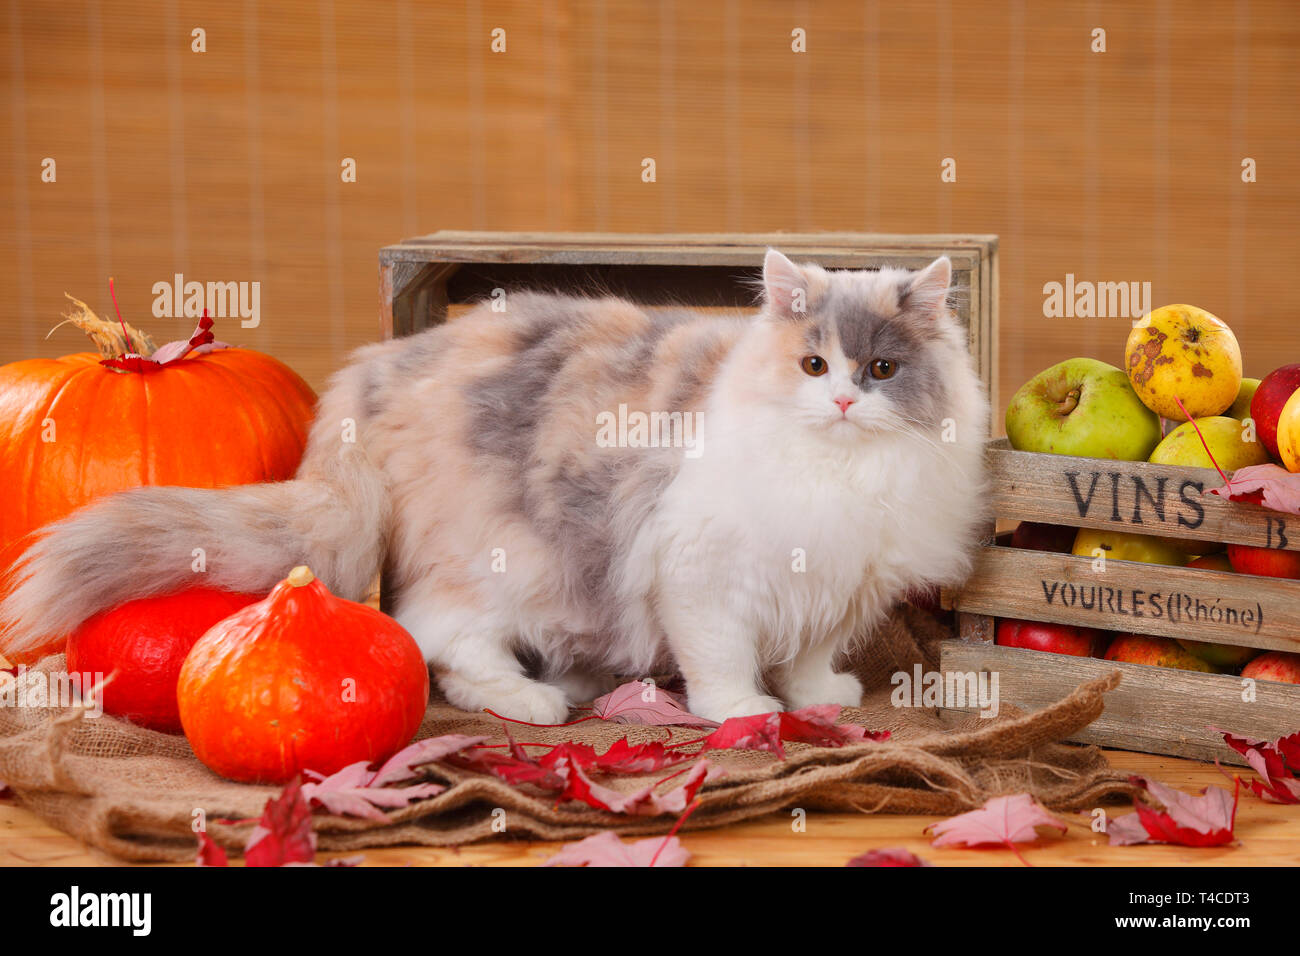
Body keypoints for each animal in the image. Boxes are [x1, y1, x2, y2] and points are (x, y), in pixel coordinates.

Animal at [0, 251, 987, 723]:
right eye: (815, 364)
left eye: (884, 368)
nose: (847, 399)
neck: (843, 474)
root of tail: (379, 367)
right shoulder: (700, 575)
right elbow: (723, 660)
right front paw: (743, 714)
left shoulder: (838, 582)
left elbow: (811, 651)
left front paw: (817, 698)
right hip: (498, 565)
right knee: (439, 643)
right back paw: (534, 701)